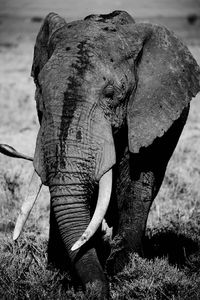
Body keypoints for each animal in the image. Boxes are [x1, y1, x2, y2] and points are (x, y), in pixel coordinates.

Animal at [0, 9, 200, 300]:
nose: (96, 291)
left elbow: (136, 182)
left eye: (110, 94)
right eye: (39, 91)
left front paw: (125, 271)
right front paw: (60, 274)